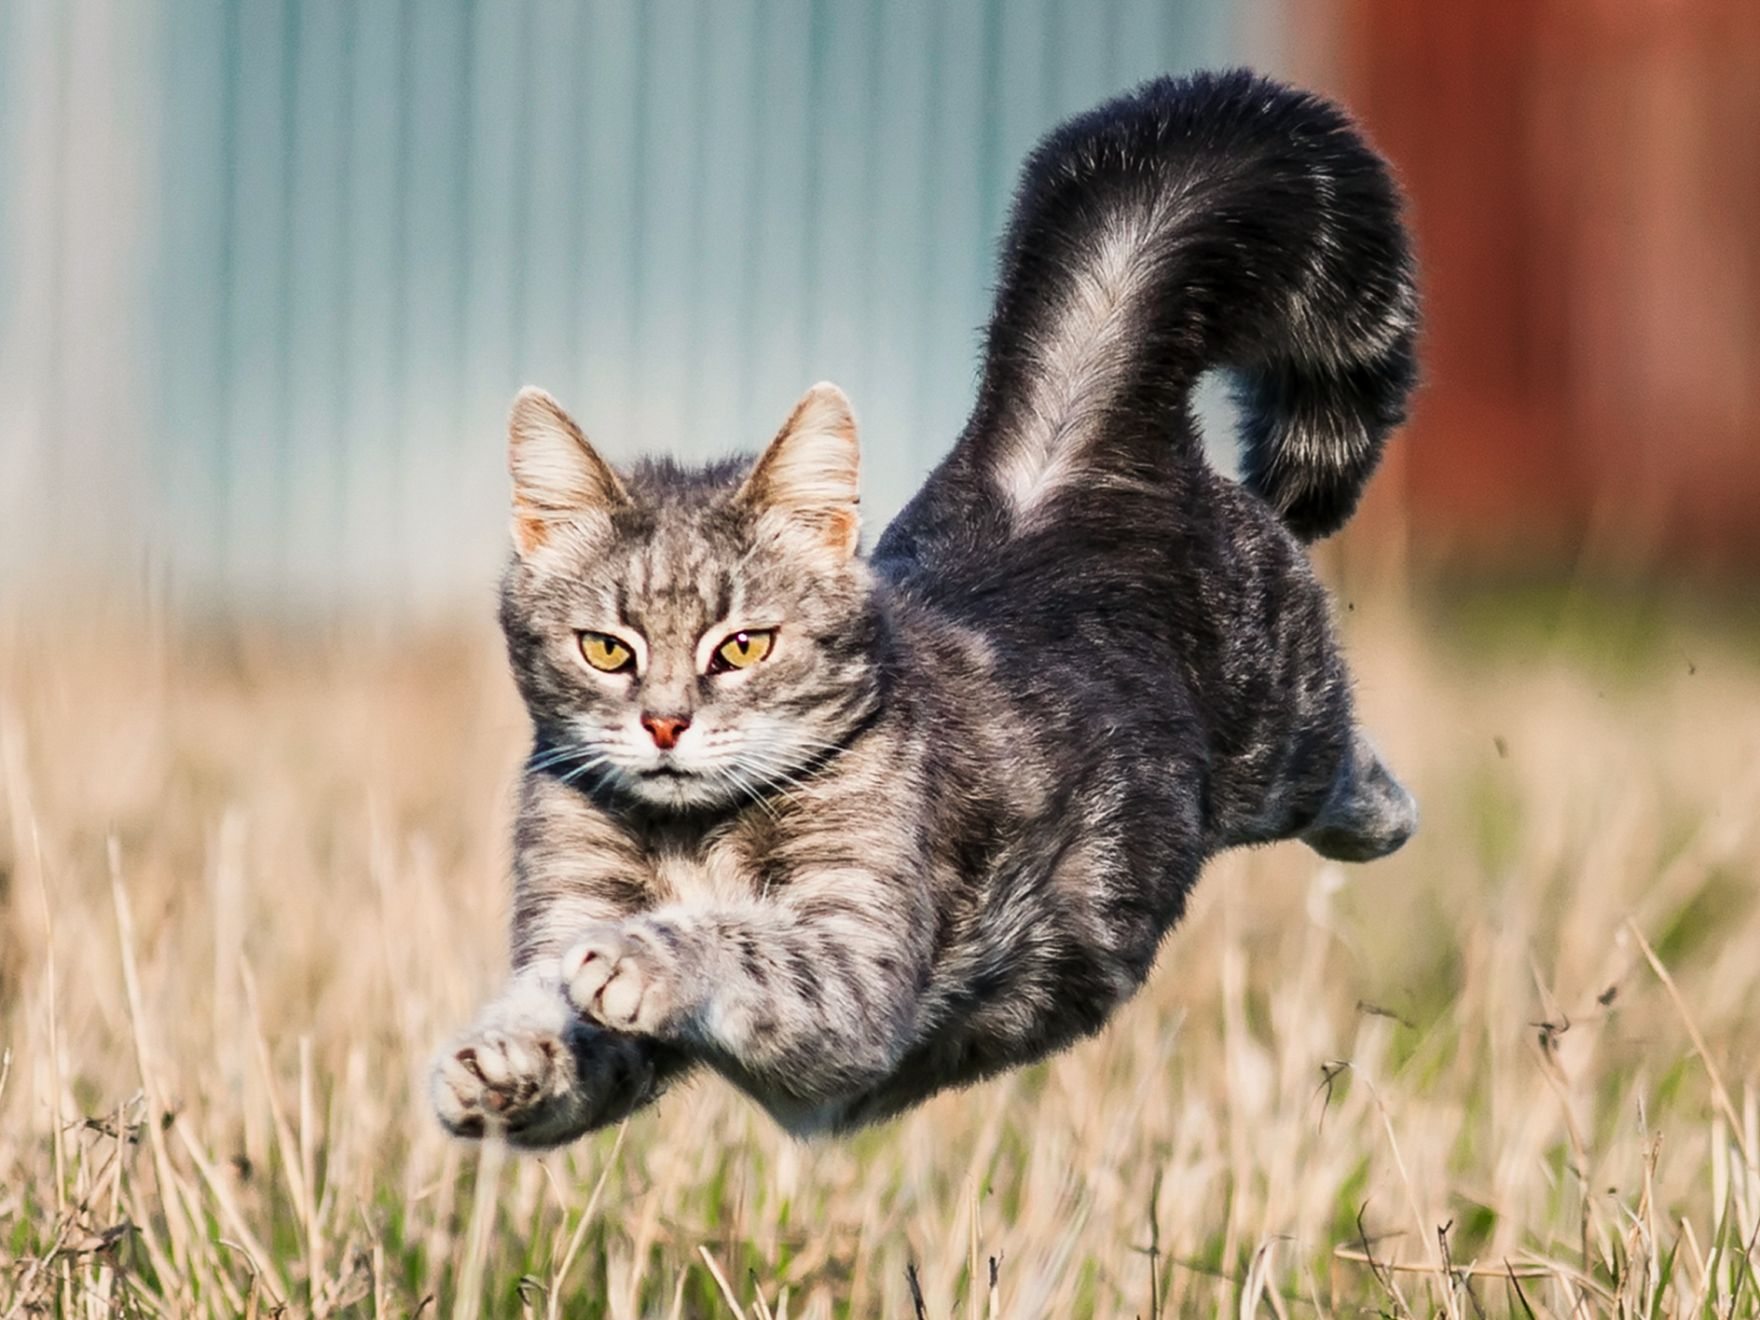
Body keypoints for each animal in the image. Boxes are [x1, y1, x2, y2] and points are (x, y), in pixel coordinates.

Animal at [432, 69, 1422, 1147]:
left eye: (742, 647)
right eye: (606, 651)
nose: (663, 724)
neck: (690, 834)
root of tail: (1070, 459)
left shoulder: (855, 977)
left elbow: (740, 938)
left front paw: (643, 951)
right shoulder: (578, 925)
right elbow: (560, 1022)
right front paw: (504, 1054)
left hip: (1284, 736)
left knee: (1347, 770)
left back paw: (1383, 812)